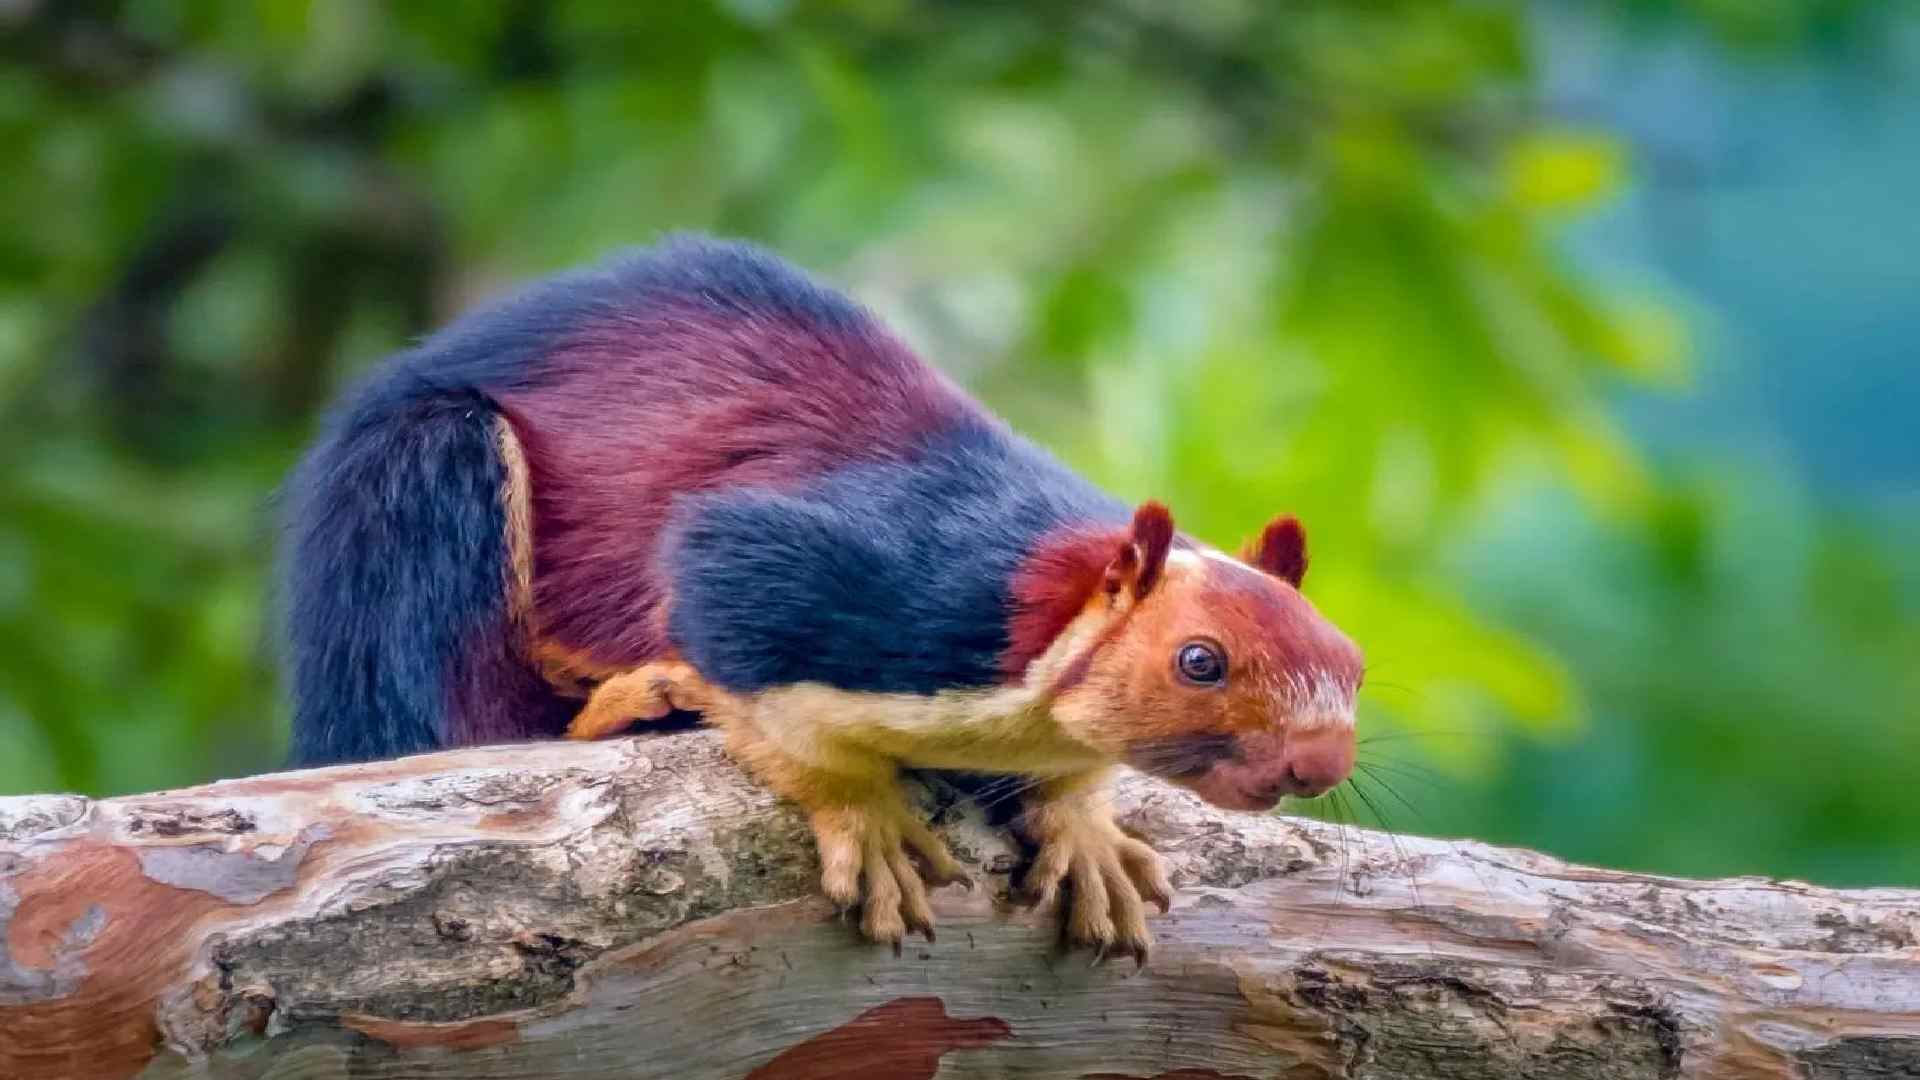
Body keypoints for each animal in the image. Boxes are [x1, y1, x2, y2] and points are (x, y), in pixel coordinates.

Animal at [281, 235, 1363, 962]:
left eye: (1352, 663)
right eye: (1199, 660)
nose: (1321, 760)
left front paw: (1086, 829)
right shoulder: (837, 578)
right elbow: (753, 667)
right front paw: (865, 817)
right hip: (423, 494)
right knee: (456, 718)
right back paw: (633, 706)